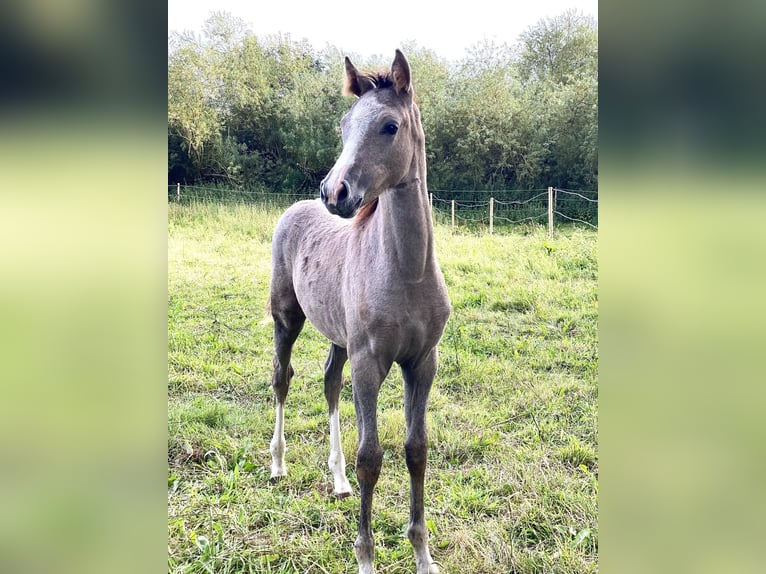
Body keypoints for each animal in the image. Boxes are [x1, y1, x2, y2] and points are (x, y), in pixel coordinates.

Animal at [268, 48, 450, 574]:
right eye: (345, 124)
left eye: (390, 126)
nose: (335, 192)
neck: (406, 271)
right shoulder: (370, 363)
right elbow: (371, 456)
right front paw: (366, 557)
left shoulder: (422, 362)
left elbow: (416, 450)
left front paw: (423, 554)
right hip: (286, 319)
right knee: (282, 379)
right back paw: (278, 464)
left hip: (338, 337)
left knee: (329, 382)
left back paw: (339, 480)